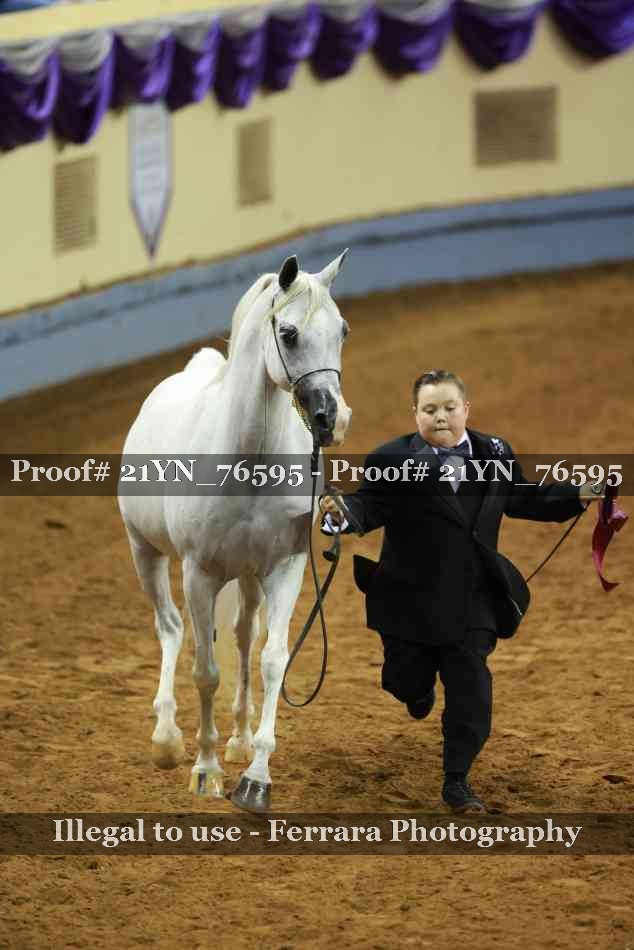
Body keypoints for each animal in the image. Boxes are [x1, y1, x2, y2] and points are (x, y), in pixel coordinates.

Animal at [118, 251, 351, 812]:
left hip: (247, 577)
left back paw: (241, 741)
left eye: (343, 330)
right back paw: (167, 739)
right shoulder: (198, 574)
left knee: (246, 638)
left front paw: (257, 775)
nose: (332, 419)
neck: (249, 460)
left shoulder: (286, 569)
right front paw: (205, 770)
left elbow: (271, 661)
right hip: (146, 554)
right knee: (170, 629)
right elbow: (205, 671)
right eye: (288, 332)